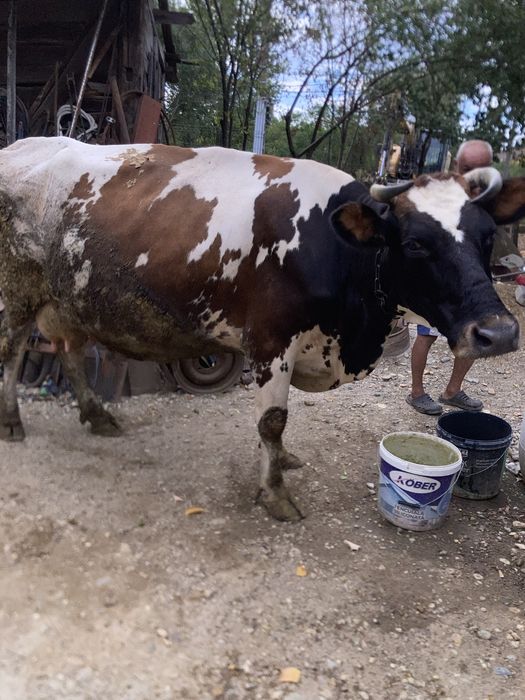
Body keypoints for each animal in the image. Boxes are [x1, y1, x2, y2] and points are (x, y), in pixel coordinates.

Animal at [0, 137, 522, 521]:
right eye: (415, 243)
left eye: (487, 237)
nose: (497, 333)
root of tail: (21, 145)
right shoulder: (272, 340)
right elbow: (273, 420)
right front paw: (275, 493)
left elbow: (273, 428)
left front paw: (282, 459)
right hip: (17, 292)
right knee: (10, 353)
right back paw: (12, 423)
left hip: (68, 299)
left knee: (68, 351)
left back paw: (97, 415)